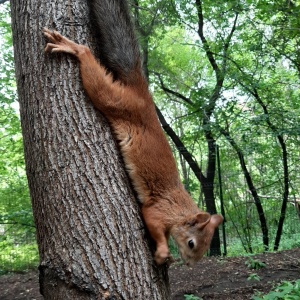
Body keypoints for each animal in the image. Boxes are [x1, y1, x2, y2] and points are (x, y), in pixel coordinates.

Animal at [44, 0, 223, 264]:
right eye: (192, 243)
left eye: (205, 246)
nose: (191, 263)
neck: (179, 209)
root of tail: (142, 94)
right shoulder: (157, 210)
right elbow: (154, 225)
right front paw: (163, 253)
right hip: (115, 100)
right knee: (92, 68)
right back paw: (73, 48)